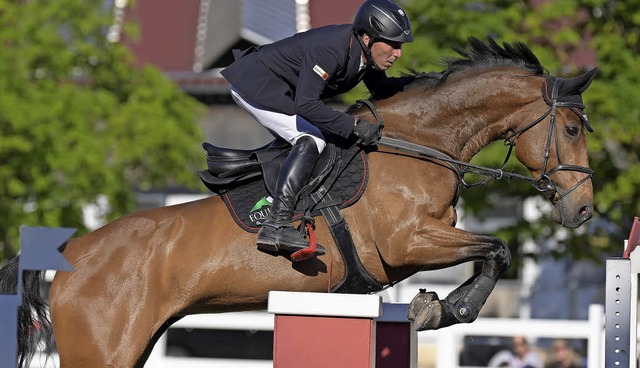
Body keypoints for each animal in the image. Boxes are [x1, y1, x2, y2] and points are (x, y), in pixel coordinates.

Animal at [2, 38, 596, 368]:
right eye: (570, 129)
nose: (584, 211)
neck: (418, 143)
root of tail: (68, 255)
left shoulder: (427, 240)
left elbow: (489, 250)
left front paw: (436, 306)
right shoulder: (408, 243)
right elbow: (497, 249)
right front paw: (448, 308)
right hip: (101, 352)